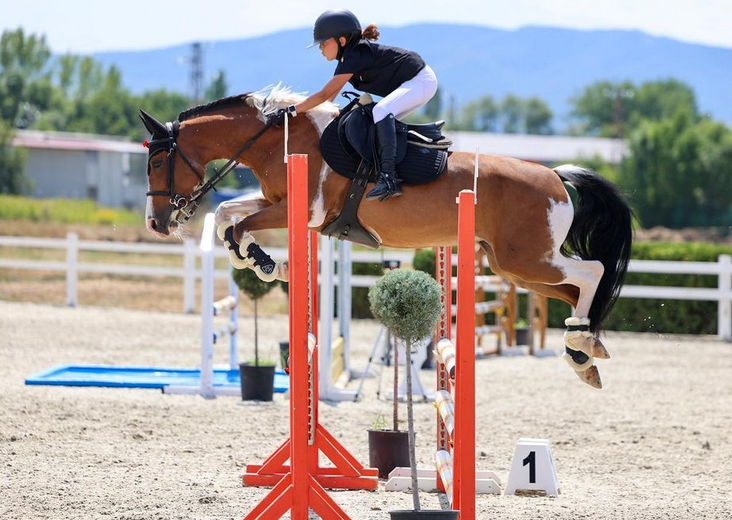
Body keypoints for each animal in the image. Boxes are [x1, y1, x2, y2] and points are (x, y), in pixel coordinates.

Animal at [140, 86, 632, 386]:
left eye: (156, 163)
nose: (156, 223)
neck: (276, 139)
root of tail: (554, 174)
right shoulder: (276, 202)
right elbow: (228, 214)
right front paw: (262, 262)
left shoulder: (306, 211)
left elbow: (240, 225)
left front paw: (266, 263)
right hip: (515, 267)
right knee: (574, 294)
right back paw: (583, 352)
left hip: (529, 258)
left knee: (592, 272)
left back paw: (583, 345)